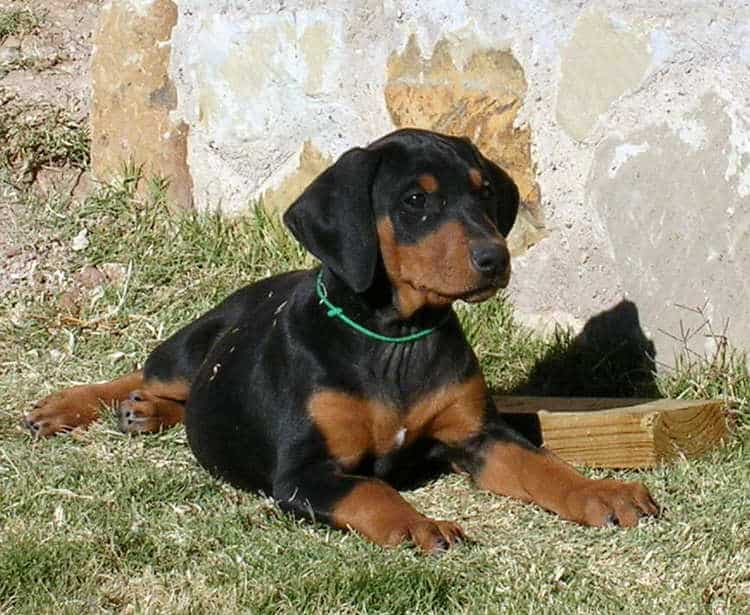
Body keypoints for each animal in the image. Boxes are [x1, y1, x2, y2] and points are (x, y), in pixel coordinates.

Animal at [22, 130, 656, 552]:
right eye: (415, 201)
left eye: (483, 194)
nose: (494, 260)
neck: (394, 338)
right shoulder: (304, 473)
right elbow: (372, 493)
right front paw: (419, 525)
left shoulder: (479, 436)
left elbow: (542, 465)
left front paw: (603, 492)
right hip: (190, 346)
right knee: (148, 370)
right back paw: (69, 406)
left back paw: (147, 413)